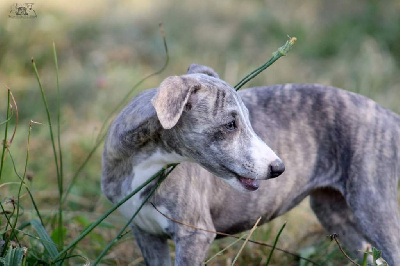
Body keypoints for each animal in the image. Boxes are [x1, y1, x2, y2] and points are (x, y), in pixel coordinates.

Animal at [101, 64, 398, 264]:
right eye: (230, 124)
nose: (279, 168)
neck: (147, 164)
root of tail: (387, 115)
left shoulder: (194, 234)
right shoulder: (146, 234)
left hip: (373, 204)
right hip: (333, 211)